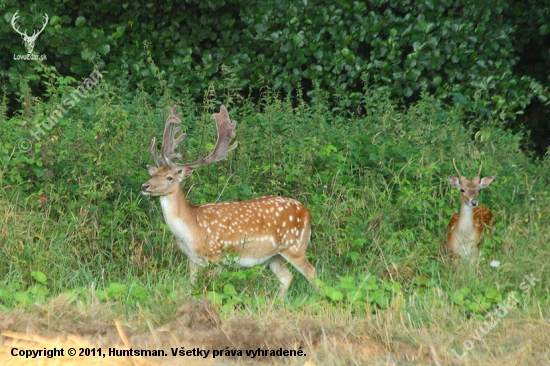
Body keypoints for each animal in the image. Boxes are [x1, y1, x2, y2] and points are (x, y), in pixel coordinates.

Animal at [140, 105, 316, 298]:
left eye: (169, 177)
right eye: (154, 174)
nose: (145, 186)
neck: (191, 227)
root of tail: (307, 212)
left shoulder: (217, 256)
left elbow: (212, 288)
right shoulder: (192, 260)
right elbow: (192, 287)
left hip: (295, 247)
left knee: (312, 273)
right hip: (273, 256)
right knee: (287, 277)